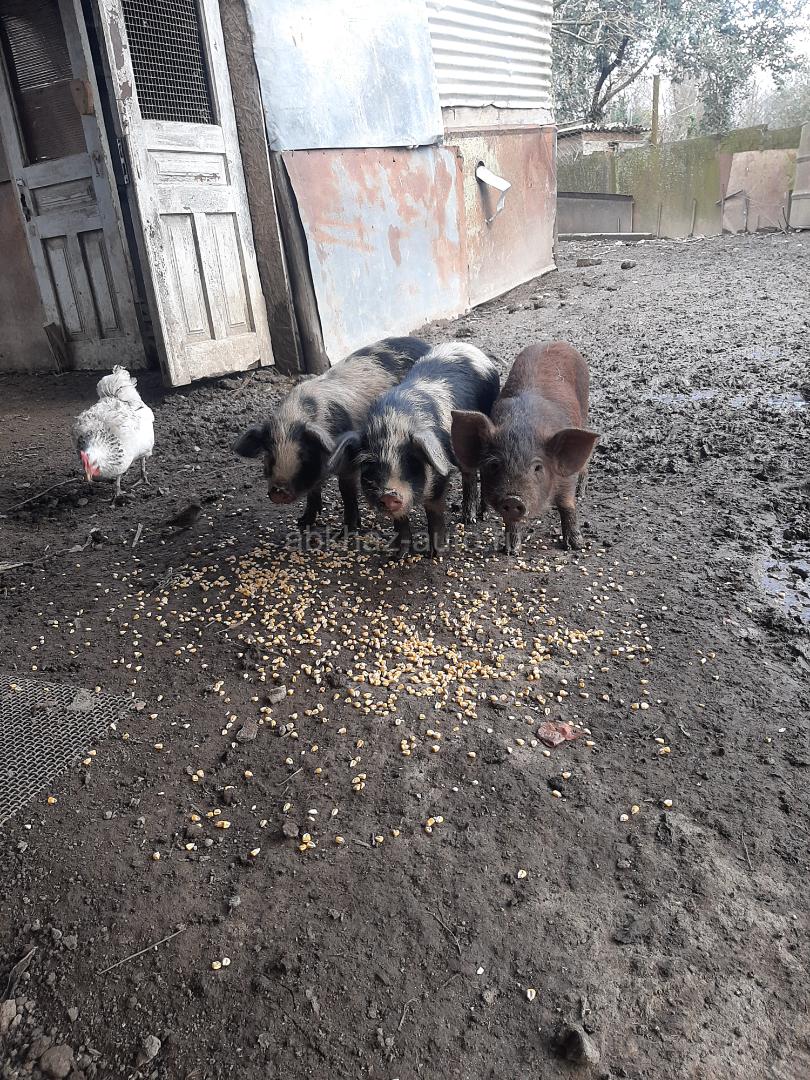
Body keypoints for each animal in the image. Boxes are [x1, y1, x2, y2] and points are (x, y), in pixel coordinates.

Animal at [234, 337, 430, 531]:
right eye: (269, 457)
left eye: (304, 456)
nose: (279, 491)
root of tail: (423, 344)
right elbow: (313, 491)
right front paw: (303, 523)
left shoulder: (349, 459)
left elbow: (346, 490)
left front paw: (348, 529)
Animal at [329, 343, 500, 557]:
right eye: (368, 464)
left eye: (410, 461)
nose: (389, 494)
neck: (394, 424)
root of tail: (471, 349)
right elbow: (401, 520)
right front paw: (398, 556)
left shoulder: (439, 474)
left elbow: (434, 510)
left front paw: (436, 554)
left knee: (471, 472)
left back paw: (472, 518)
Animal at [450, 341, 598, 555]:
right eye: (494, 465)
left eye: (538, 467)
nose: (513, 499)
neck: (522, 426)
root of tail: (554, 342)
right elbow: (511, 521)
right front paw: (511, 550)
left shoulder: (566, 479)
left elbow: (567, 505)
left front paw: (577, 546)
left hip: (584, 409)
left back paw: (581, 493)